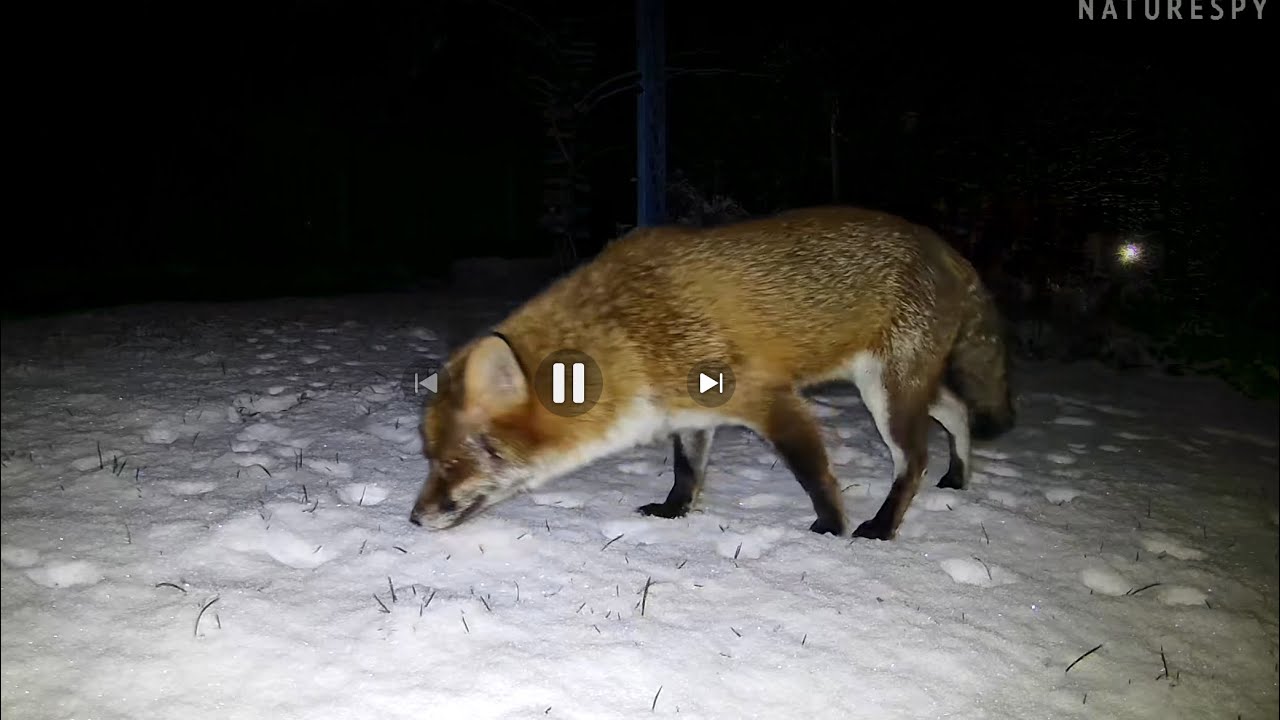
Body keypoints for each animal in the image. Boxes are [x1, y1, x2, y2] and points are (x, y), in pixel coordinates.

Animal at [410, 206, 1015, 541]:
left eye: (451, 463)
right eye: (429, 459)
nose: (413, 518)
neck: (634, 332)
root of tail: (942, 245)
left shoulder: (771, 400)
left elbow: (813, 474)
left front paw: (829, 527)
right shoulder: (690, 413)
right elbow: (687, 472)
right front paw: (674, 513)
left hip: (886, 393)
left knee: (913, 460)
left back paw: (883, 528)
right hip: (904, 388)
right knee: (957, 412)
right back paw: (959, 478)